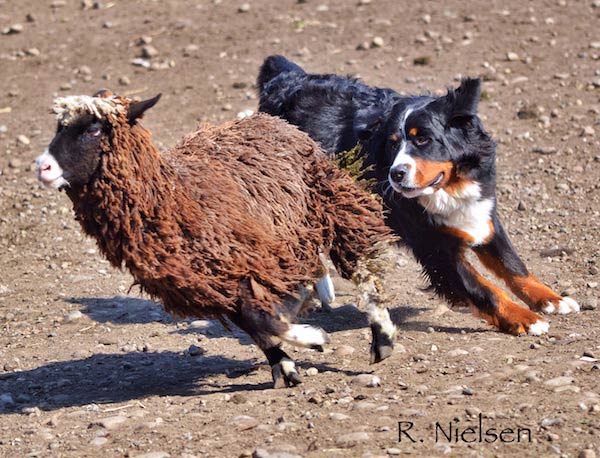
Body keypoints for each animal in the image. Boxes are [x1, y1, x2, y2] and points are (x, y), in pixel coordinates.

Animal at [35, 92, 396, 386]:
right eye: (59, 127)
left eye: (94, 129)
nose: (42, 167)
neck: (174, 196)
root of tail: (268, 119)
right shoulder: (211, 283)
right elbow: (255, 322)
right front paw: (285, 364)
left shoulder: (249, 261)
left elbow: (259, 318)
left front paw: (312, 339)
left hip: (331, 201)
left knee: (363, 265)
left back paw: (382, 338)